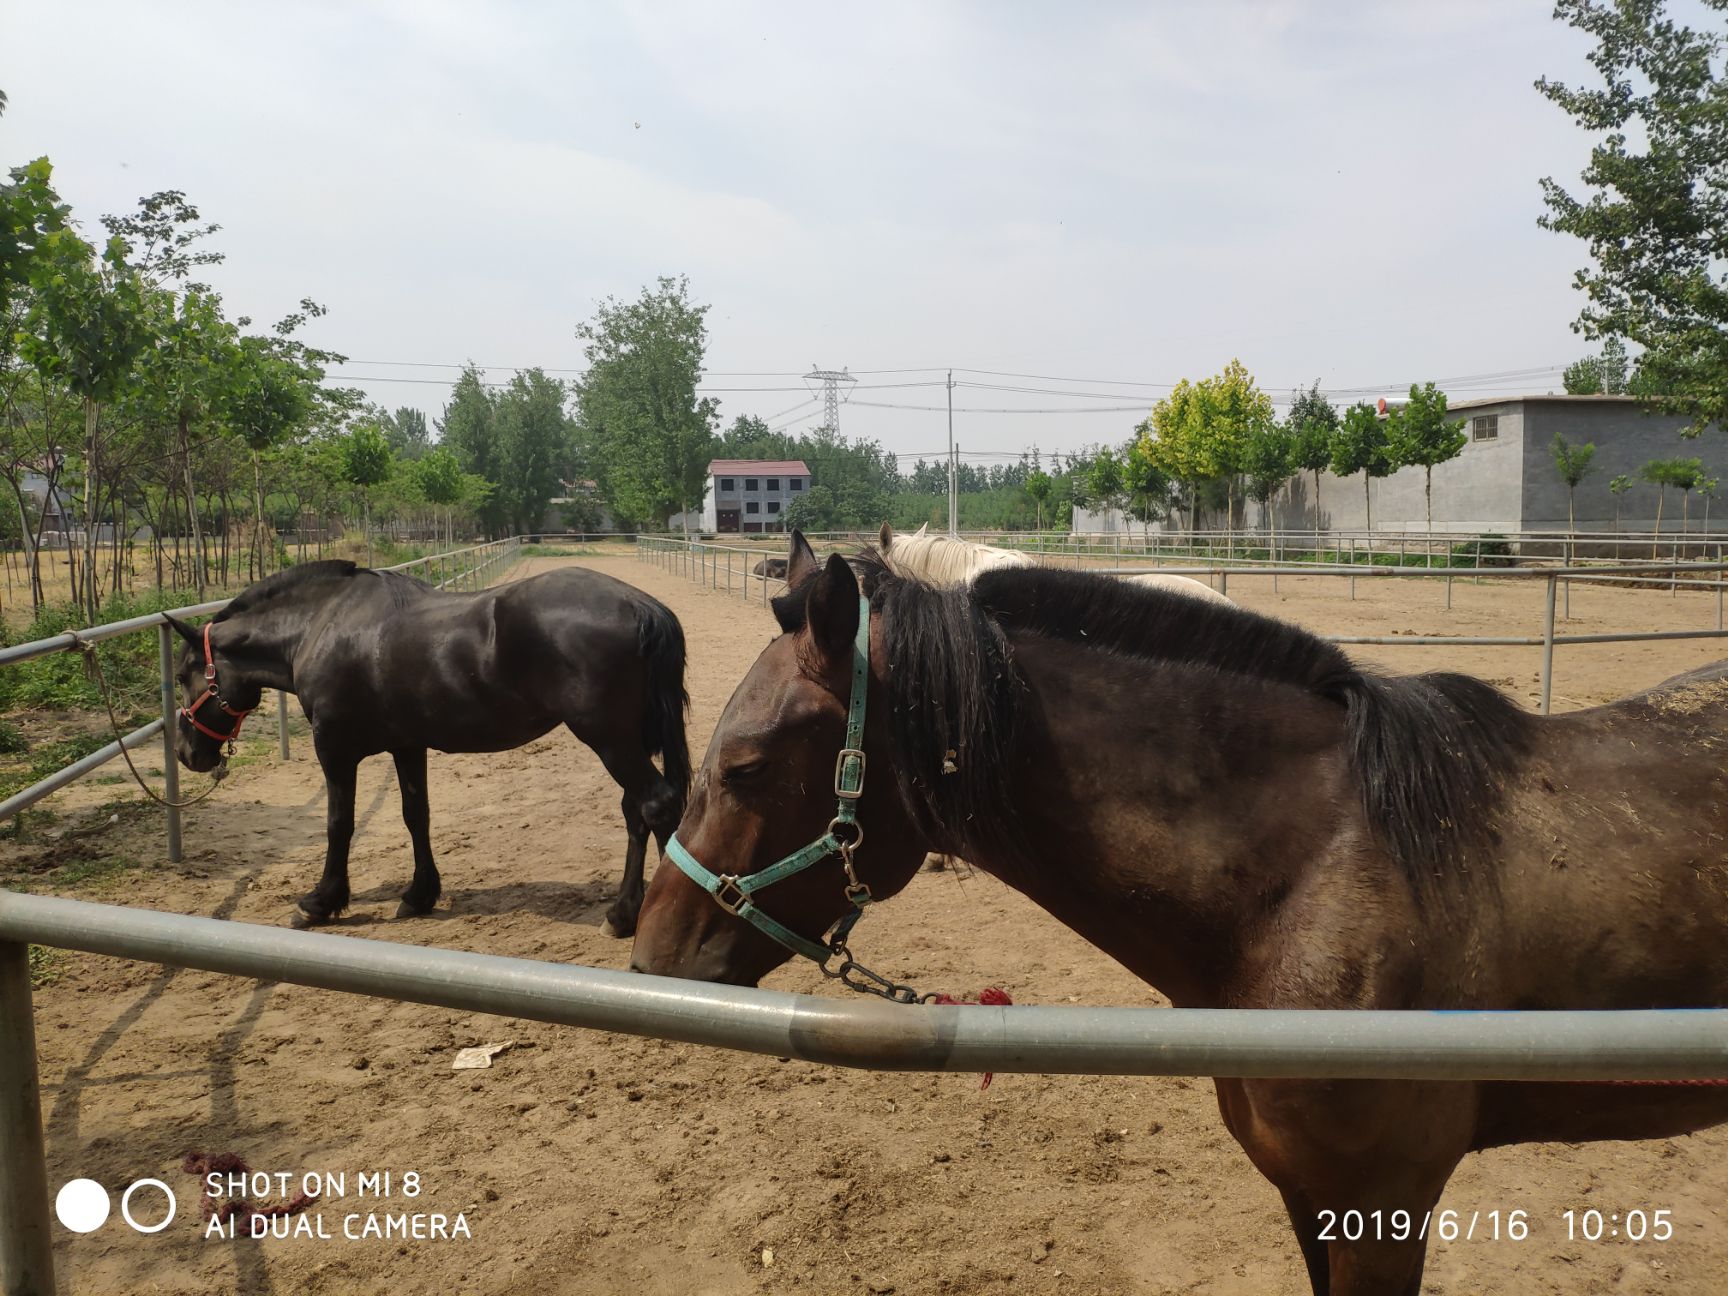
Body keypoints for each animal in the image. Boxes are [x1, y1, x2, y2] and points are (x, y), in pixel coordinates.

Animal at [166, 559, 689, 938]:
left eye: (182, 675)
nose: (188, 753)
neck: (322, 625)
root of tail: (640, 606)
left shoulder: (334, 748)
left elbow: (340, 823)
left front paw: (319, 901)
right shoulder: (407, 745)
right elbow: (415, 814)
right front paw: (419, 895)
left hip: (609, 739)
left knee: (658, 805)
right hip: (624, 742)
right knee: (636, 812)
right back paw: (621, 916)